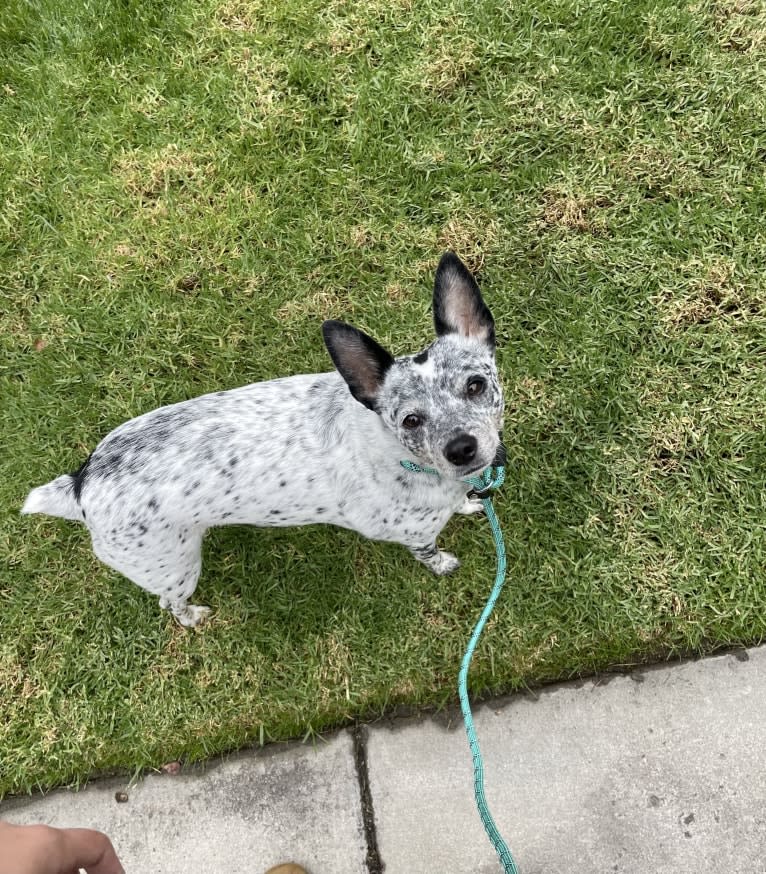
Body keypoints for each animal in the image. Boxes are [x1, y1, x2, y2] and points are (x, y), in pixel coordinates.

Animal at [21, 249, 504, 624]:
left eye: (475, 385)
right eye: (410, 420)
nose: (461, 449)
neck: (400, 453)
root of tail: (82, 483)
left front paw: (468, 503)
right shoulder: (414, 535)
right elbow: (430, 553)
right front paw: (443, 563)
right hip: (174, 568)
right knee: (169, 604)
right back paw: (192, 617)